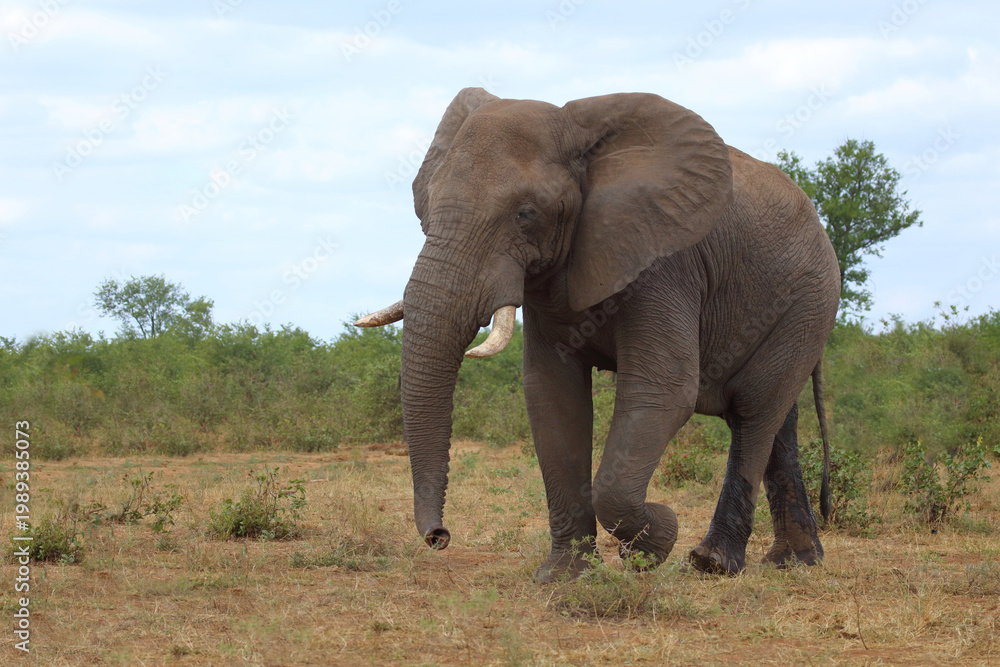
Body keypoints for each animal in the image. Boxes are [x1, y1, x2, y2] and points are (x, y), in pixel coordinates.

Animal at [356, 87, 839, 581]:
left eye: (526, 213)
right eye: (426, 208)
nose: (439, 536)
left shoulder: (664, 263)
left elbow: (662, 391)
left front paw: (653, 541)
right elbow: (552, 396)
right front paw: (564, 576)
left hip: (807, 302)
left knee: (754, 412)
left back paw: (713, 563)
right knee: (777, 420)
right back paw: (794, 561)